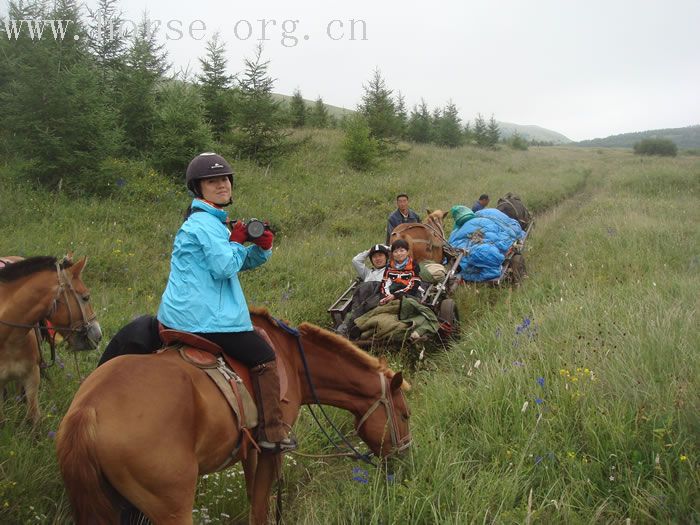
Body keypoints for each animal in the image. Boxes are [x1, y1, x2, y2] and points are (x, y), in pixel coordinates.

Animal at [57, 308, 412, 524]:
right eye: (406, 414)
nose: (404, 459)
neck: (292, 359)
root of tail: (87, 411)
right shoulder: (271, 450)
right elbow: (261, 508)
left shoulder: (250, 450)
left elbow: (253, 496)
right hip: (171, 506)